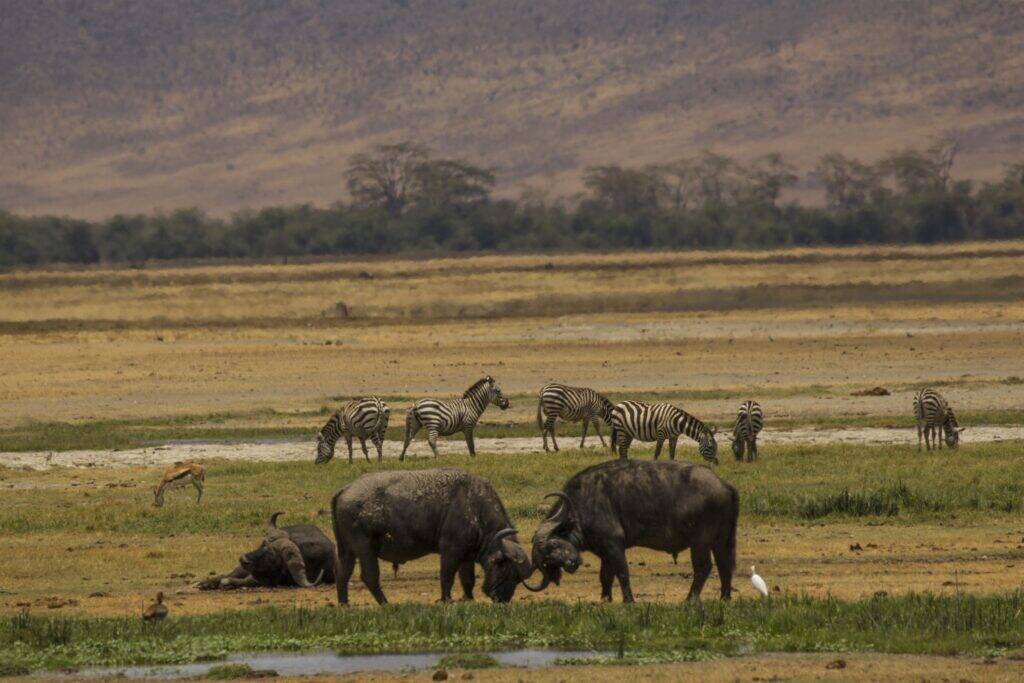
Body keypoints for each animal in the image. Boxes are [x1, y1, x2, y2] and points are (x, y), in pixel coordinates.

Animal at [330, 468, 534, 604]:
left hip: (347, 549)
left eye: (517, 578)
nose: (502, 598)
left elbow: (468, 579)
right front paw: (446, 599)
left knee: (343, 572)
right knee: (369, 576)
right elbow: (447, 576)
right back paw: (385, 603)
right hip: (365, 548)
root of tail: (346, 489)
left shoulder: (467, 555)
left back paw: (344, 603)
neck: (474, 506)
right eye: (505, 569)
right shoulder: (450, 550)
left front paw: (468, 598)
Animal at [526, 459, 738, 602]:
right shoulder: (606, 551)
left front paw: (629, 600)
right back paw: (724, 598)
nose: (570, 564)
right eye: (546, 560)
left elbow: (622, 573)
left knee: (703, 567)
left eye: (553, 543)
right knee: (724, 565)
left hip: (700, 542)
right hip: (720, 541)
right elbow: (605, 576)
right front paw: (606, 599)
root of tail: (724, 484)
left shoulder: (614, 546)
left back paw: (689, 600)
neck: (582, 504)